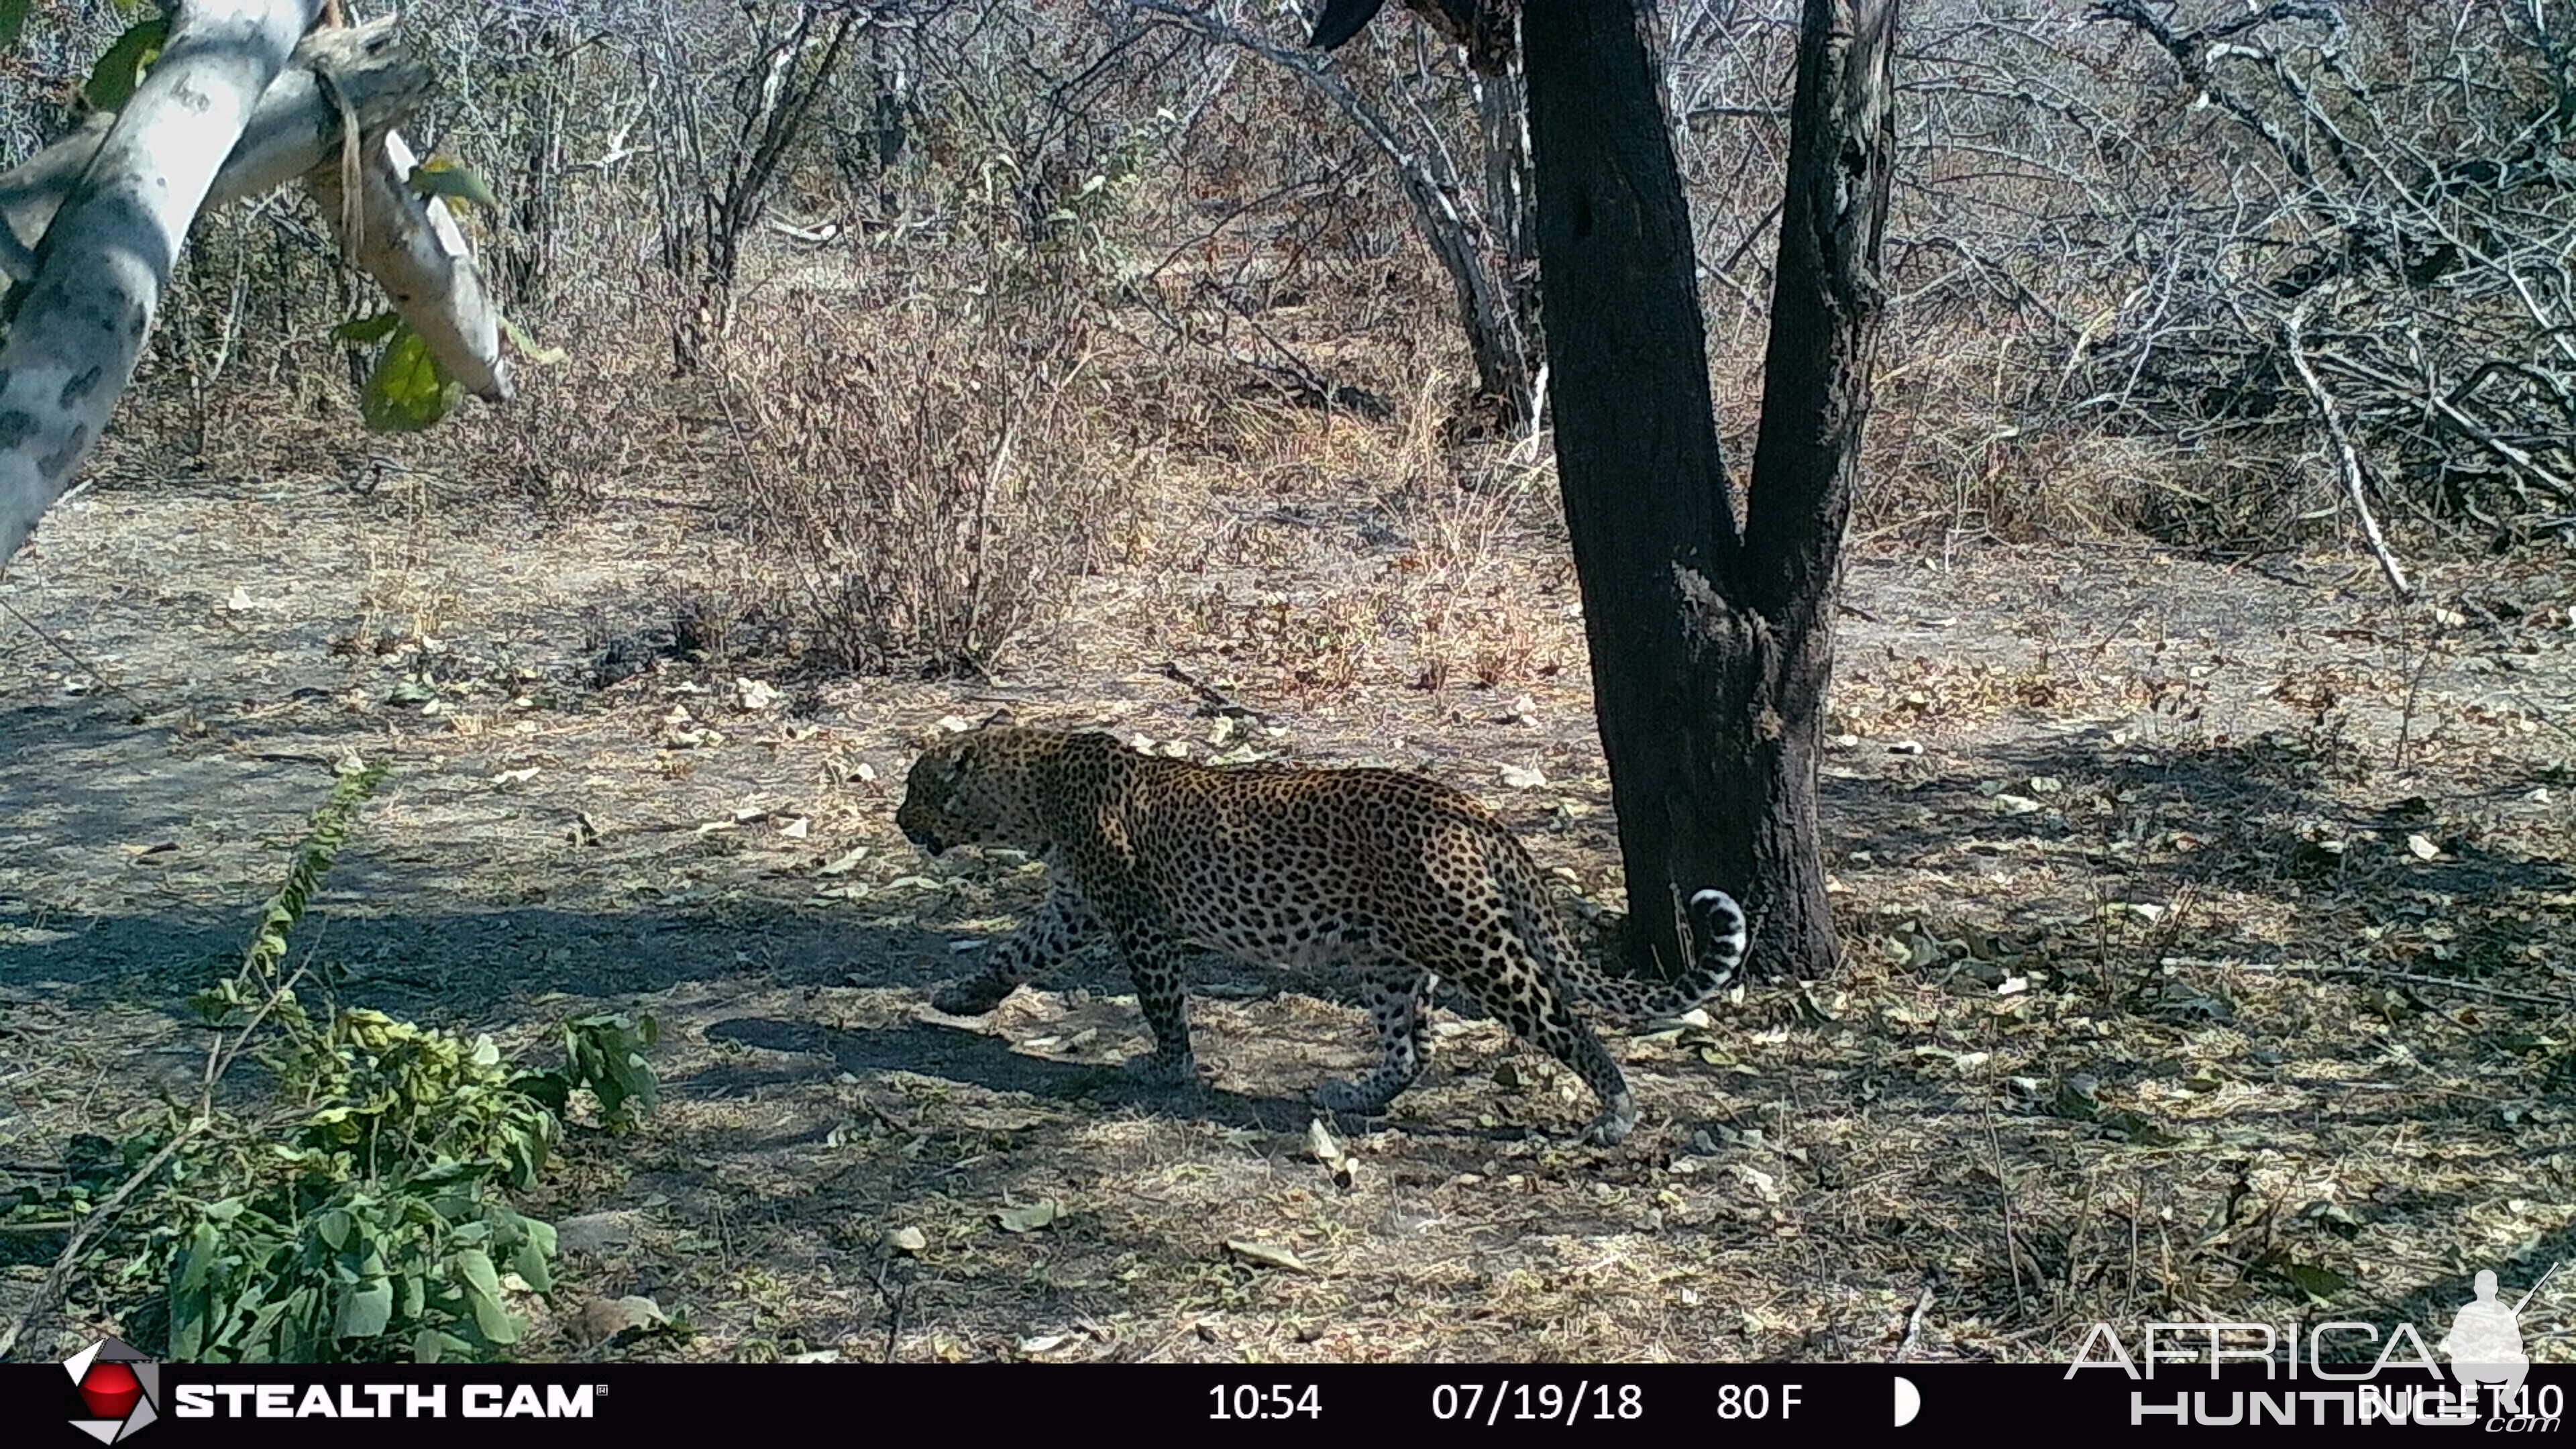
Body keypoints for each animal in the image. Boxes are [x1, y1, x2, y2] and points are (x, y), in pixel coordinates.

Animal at [891, 716, 1752, 1139]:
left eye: (915, 789)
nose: (897, 822)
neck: (1032, 792)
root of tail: (1475, 810)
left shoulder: (1137, 924)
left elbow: (1161, 1005)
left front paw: (1168, 1068)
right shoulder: (1074, 908)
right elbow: (1012, 952)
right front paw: (961, 998)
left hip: (1475, 946)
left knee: (1565, 1023)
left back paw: (1616, 1111)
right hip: (1392, 959)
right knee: (1410, 1049)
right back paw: (1351, 1094)